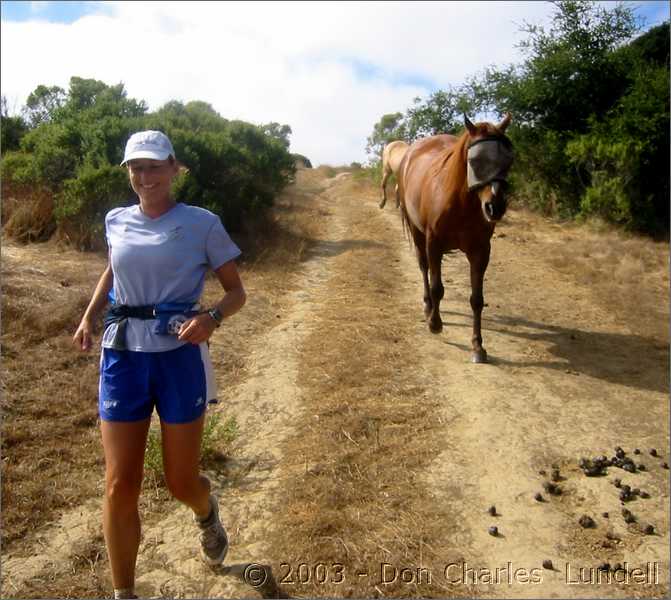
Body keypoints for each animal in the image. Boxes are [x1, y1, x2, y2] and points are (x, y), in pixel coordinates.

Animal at [400, 115, 516, 364]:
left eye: (509, 160)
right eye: (474, 160)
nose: (495, 207)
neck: (460, 203)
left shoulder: (481, 251)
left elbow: (477, 299)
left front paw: (478, 346)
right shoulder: (433, 244)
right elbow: (437, 288)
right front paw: (435, 323)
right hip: (417, 233)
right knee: (424, 268)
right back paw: (428, 307)